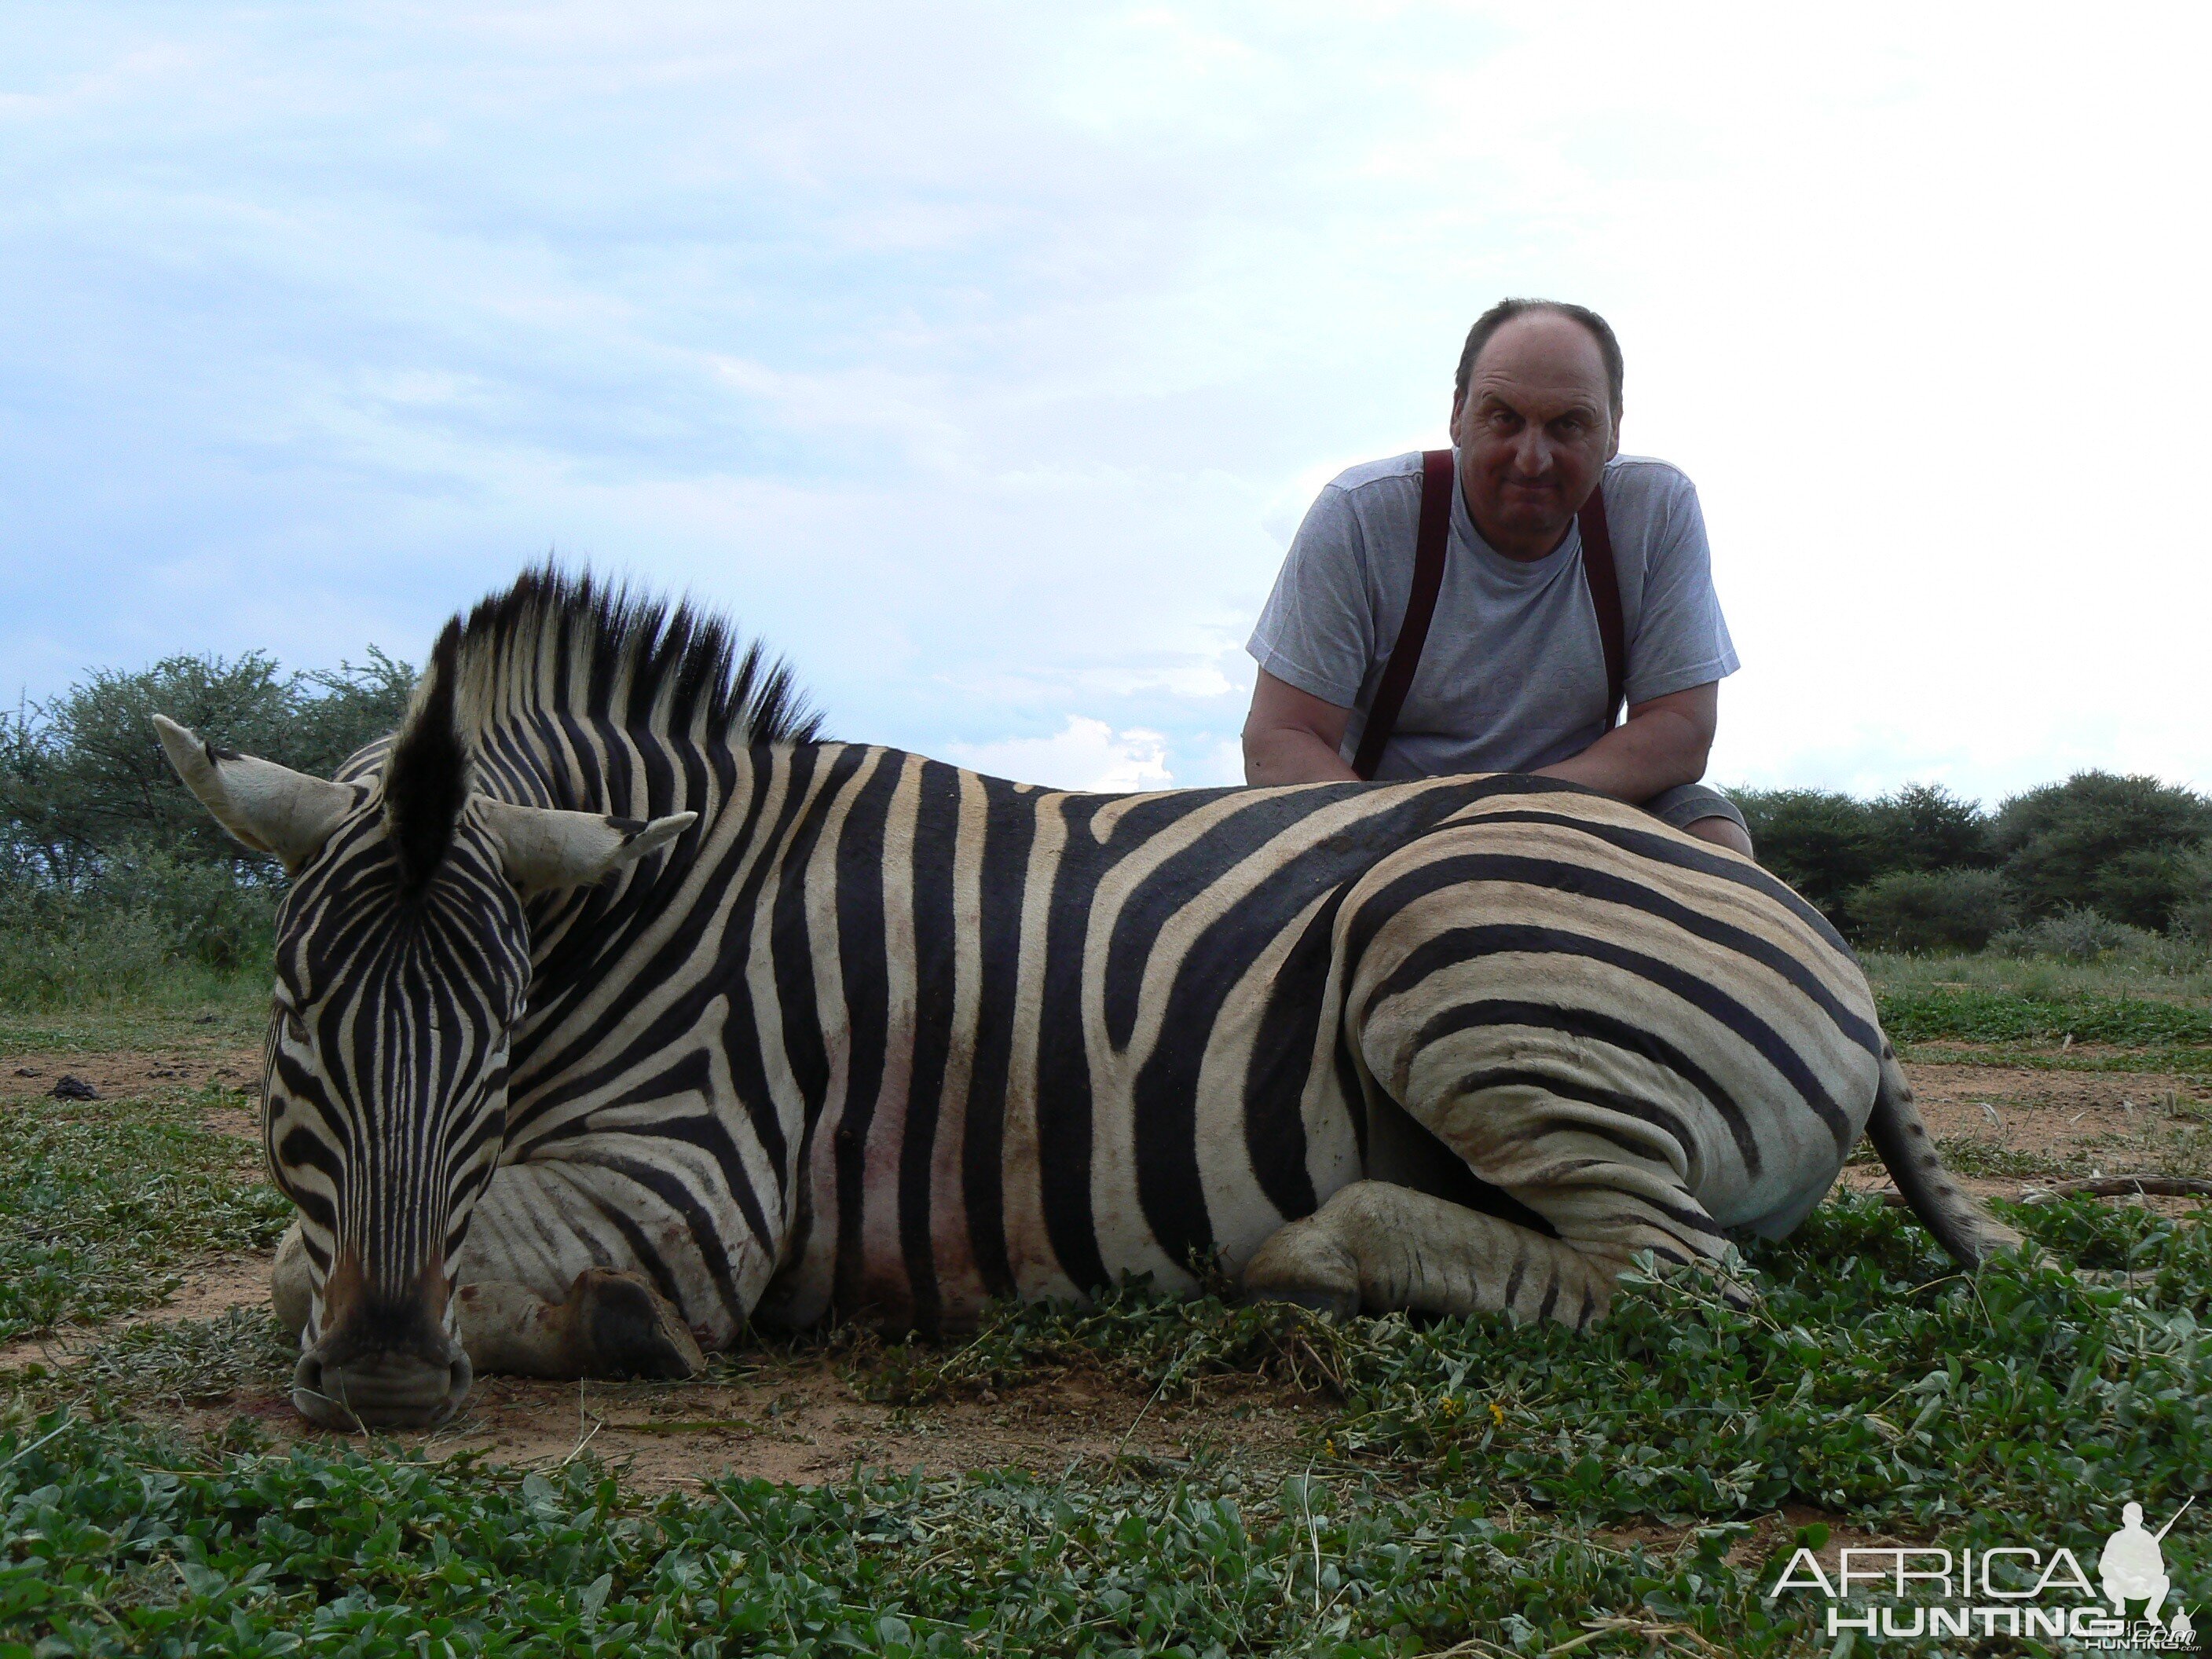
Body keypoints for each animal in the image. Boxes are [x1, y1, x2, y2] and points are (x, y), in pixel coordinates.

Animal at [160, 570, 2026, 1433]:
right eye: (294, 1018)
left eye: (493, 1033)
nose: (391, 1378)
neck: (646, 908)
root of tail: (1821, 942)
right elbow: (309, 1253)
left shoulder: (687, 1178)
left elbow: (309, 1266)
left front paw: (607, 1325)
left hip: (1456, 943)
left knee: (1681, 1282)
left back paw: (1318, 1254)